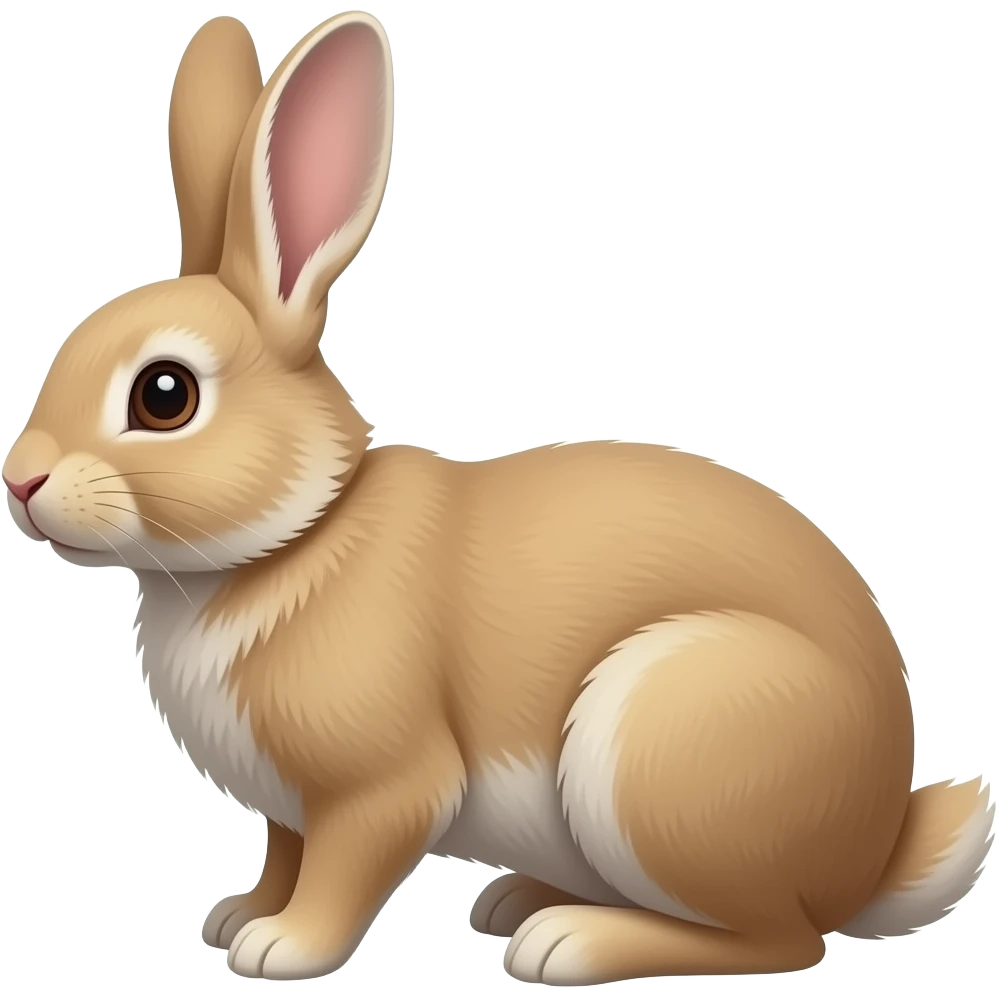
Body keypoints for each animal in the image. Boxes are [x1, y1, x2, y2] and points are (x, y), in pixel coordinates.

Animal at [2, 10, 993, 987]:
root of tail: (874, 849)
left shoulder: (382, 789)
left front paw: (283, 948)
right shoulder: (290, 809)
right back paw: (519, 901)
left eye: (164, 396)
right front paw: (238, 916)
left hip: (658, 744)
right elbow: (284, 855)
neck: (298, 534)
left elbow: (342, 869)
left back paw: (569, 942)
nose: (21, 478)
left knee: (783, 940)